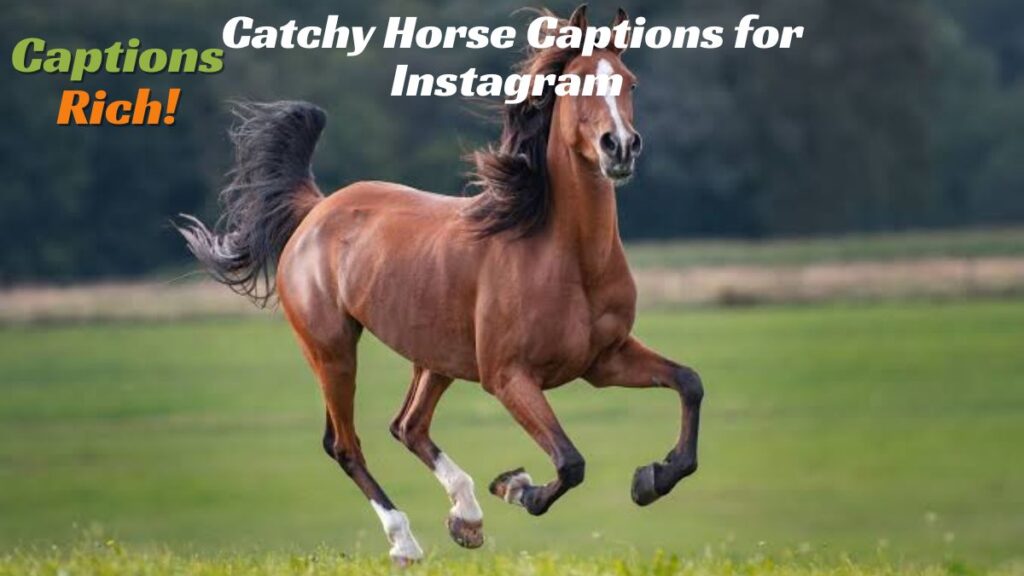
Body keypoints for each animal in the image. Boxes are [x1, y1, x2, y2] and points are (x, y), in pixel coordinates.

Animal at [176, 5, 703, 565]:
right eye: (576, 81)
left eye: (630, 81)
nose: (619, 147)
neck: (566, 256)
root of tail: (316, 210)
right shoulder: (508, 377)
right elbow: (569, 462)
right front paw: (517, 487)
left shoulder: (604, 361)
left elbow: (689, 382)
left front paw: (652, 478)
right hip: (332, 350)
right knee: (346, 444)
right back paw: (406, 542)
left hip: (436, 357)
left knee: (408, 425)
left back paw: (466, 519)